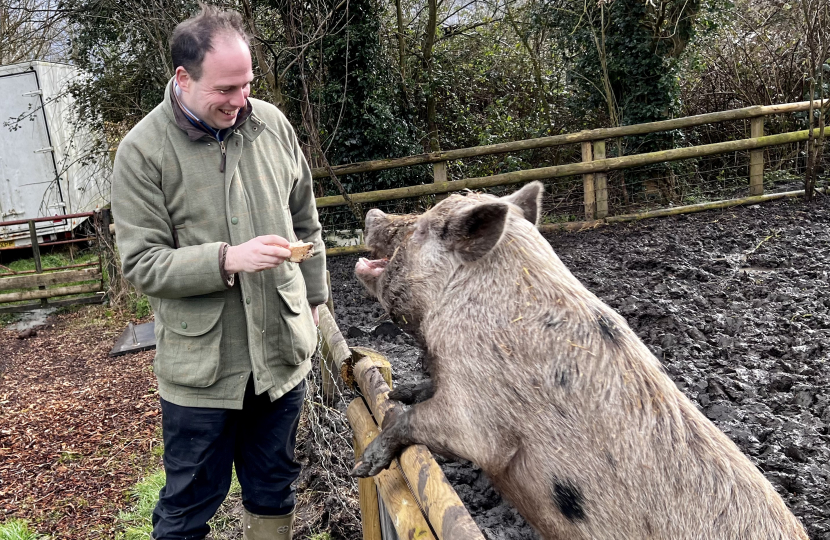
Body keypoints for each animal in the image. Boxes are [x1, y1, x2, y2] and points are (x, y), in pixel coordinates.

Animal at [352, 181, 812, 540]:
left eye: (423, 226)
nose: (372, 211)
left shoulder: (479, 418)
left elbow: (414, 422)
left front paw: (365, 465)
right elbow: (419, 393)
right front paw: (399, 389)